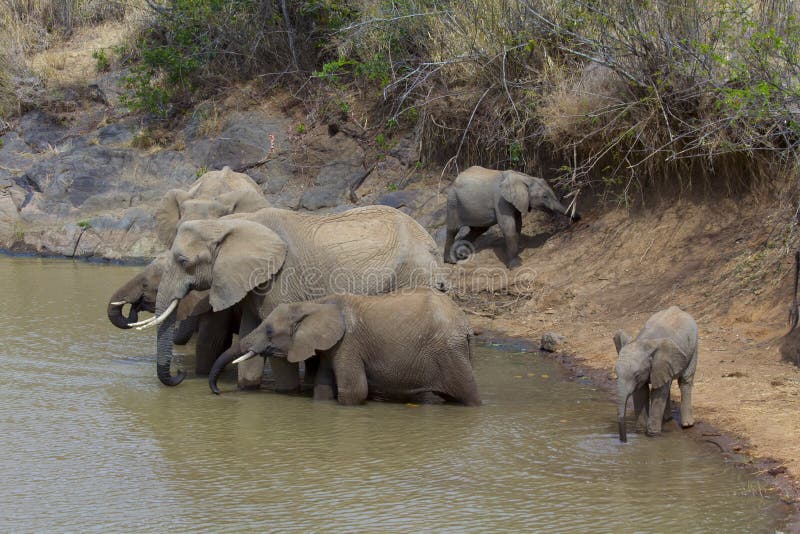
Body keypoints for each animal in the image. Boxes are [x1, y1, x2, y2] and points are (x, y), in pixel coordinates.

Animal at [138, 205, 449, 389]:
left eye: (183, 261)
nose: (179, 374)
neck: (232, 224)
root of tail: (432, 244)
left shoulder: (281, 281)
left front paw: (287, 392)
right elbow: (251, 333)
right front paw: (247, 389)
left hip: (412, 274)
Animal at [223, 288, 481, 406]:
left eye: (269, 331)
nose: (217, 392)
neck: (316, 304)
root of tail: (466, 324)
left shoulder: (349, 344)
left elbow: (354, 392)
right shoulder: (331, 347)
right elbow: (323, 390)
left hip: (449, 351)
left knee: (469, 396)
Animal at [443, 166, 579, 268]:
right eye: (545, 197)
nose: (578, 218)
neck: (525, 178)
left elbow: (518, 224)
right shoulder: (501, 200)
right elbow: (508, 226)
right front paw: (516, 266)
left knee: (478, 230)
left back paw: (461, 254)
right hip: (453, 202)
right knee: (453, 230)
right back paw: (450, 260)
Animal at [614, 306, 698, 442]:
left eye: (637, 374)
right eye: (615, 372)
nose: (624, 441)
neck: (644, 342)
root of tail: (678, 308)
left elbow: (657, 393)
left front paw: (653, 435)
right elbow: (641, 393)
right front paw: (640, 433)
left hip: (694, 345)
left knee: (685, 380)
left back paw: (687, 425)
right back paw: (667, 419)